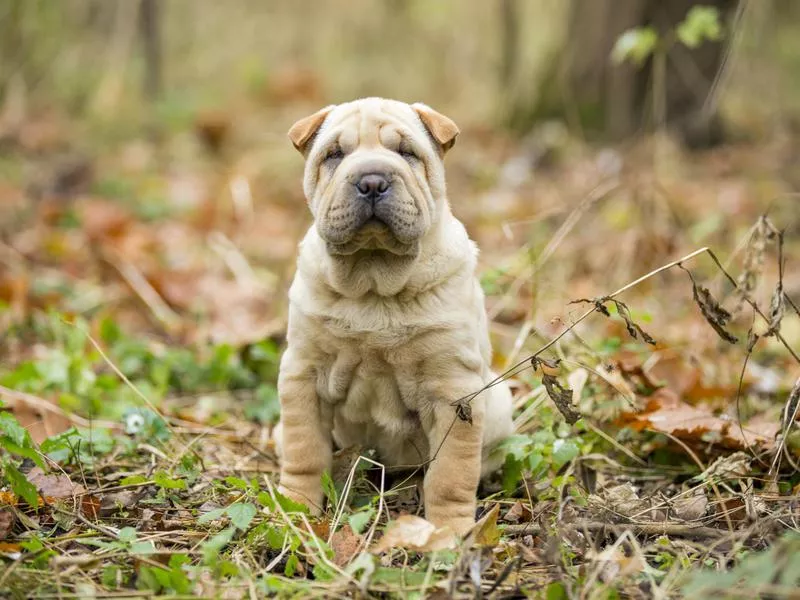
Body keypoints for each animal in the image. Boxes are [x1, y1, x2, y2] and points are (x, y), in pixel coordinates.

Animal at [276, 98, 512, 536]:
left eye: (407, 153)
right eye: (334, 155)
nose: (371, 181)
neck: (374, 282)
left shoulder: (454, 389)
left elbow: (452, 472)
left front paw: (449, 531)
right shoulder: (303, 372)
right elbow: (305, 451)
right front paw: (294, 508)